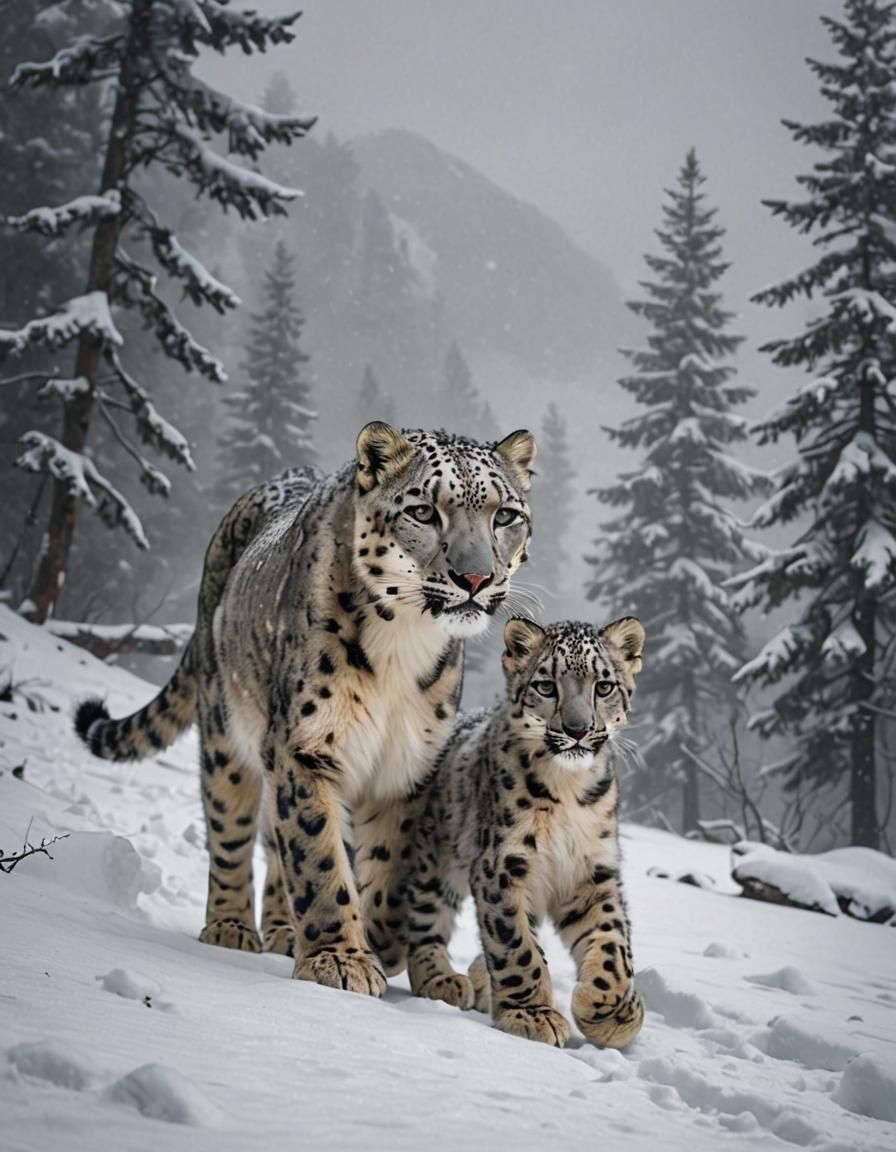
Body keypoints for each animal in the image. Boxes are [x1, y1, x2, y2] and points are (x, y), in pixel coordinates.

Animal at [74, 422, 537, 997]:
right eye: (424, 511)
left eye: (506, 515)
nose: (476, 579)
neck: (404, 643)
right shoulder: (308, 745)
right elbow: (318, 855)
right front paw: (340, 959)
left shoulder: (408, 764)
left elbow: (387, 862)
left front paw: (380, 943)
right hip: (227, 733)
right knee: (233, 827)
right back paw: (230, 926)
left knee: (276, 843)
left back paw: (281, 930)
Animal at [406, 615, 646, 1048]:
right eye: (546, 686)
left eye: (604, 686)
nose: (578, 729)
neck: (568, 791)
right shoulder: (502, 865)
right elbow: (517, 946)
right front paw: (532, 1015)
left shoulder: (593, 872)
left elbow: (613, 943)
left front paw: (609, 1009)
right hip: (436, 858)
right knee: (424, 919)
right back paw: (442, 980)